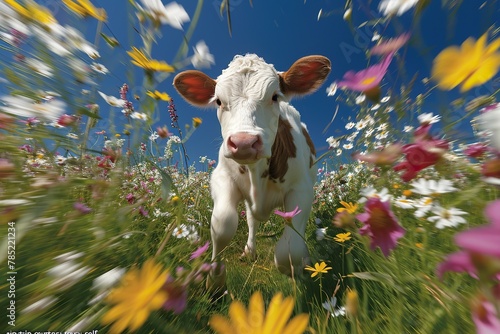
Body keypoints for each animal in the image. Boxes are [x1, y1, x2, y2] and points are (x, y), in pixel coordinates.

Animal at [174, 53, 330, 288]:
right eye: (218, 101)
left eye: (275, 96)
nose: (244, 143)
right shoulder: (221, 178)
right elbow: (222, 225)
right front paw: (215, 281)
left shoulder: (301, 189)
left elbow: (290, 248)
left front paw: (296, 269)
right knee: (251, 221)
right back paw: (249, 250)